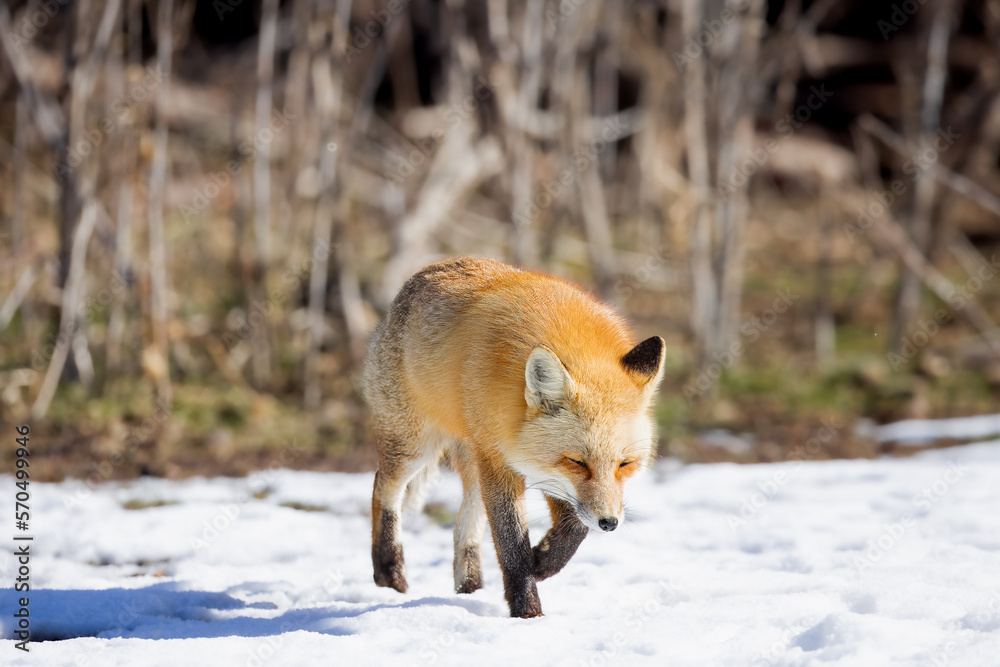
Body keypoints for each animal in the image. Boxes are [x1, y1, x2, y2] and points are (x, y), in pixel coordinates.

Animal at [363, 256, 665, 618]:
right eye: (578, 462)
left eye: (625, 464)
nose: (609, 523)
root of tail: (428, 271)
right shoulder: (503, 463)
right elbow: (512, 544)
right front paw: (528, 612)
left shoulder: (545, 469)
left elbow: (574, 527)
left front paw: (542, 562)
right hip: (415, 447)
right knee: (383, 488)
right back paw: (388, 571)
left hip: (473, 464)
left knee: (464, 526)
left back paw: (470, 588)